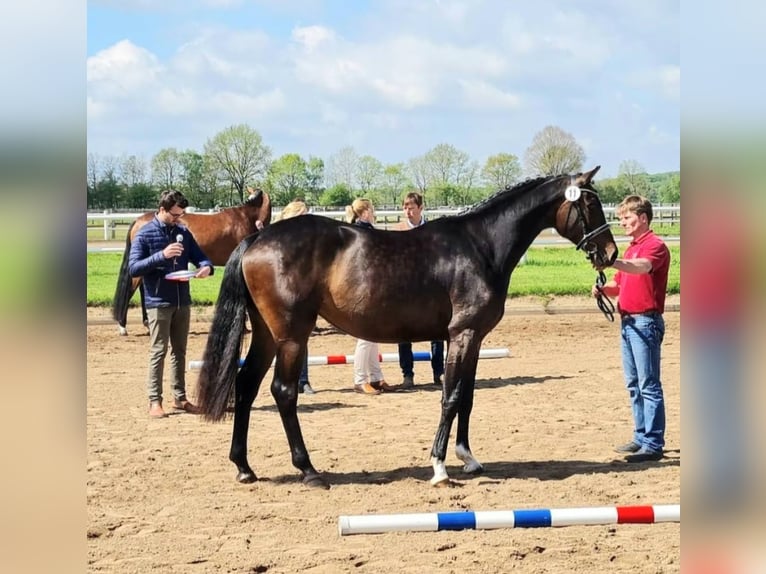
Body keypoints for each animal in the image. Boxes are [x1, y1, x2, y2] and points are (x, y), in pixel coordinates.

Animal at [196, 167, 618, 489]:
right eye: (590, 203)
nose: (610, 253)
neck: (480, 245)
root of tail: (257, 238)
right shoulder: (463, 335)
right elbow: (450, 396)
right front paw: (440, 467)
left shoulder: (473, 339)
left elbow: (467, 397)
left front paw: (468, 457)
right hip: (291, 337)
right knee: (283, 392)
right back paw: (309, 470)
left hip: (268, 335)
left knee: (246, 385)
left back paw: (244, 467)